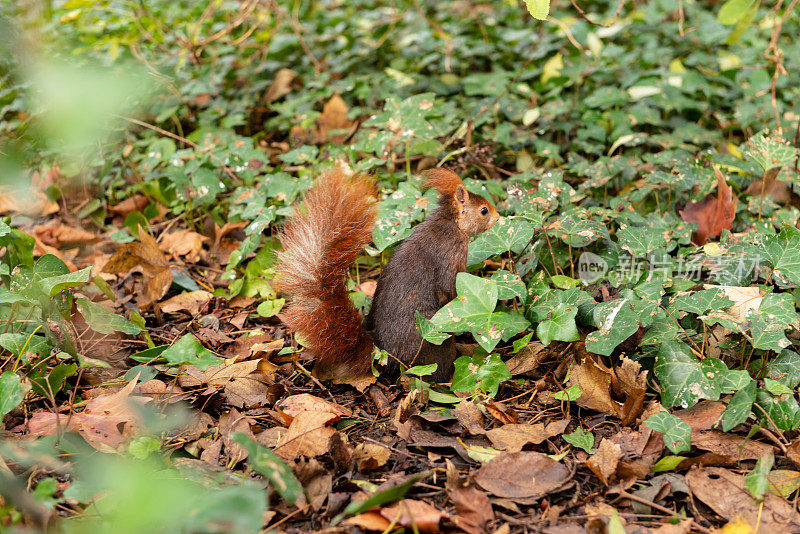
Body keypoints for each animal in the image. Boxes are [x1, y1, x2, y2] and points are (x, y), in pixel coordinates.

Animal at [276, 168, 500, 382]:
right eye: (483, 210)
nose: (499, 217)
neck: (452, 223)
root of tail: (385, 356)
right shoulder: (451, 256)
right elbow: (450, 288)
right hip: (435, 341)